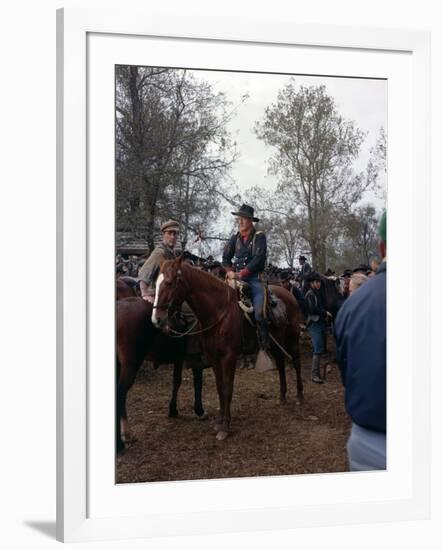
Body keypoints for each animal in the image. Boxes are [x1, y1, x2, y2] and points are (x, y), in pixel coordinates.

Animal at [117, 300, 207, 454]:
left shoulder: (178, 359)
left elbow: (176, 381)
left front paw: (173, 409)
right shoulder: (197, 359)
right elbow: (197, 383)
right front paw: (199, 410)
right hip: (130, 364)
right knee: (120, 393)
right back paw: (122, 440)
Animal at [152, 256, 304, 442]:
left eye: (169, 282)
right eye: (156, 283)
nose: (156, 319)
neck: (218, 312)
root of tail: (289, 294)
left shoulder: (229, 357)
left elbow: (227, 388)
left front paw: (225, 427)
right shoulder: (213, 357)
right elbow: (219, 387)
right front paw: (219, 421)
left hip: (292, 340)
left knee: (296, 362)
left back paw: (299, 397)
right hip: (276, 343)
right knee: (281, 365)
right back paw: (282, 397)